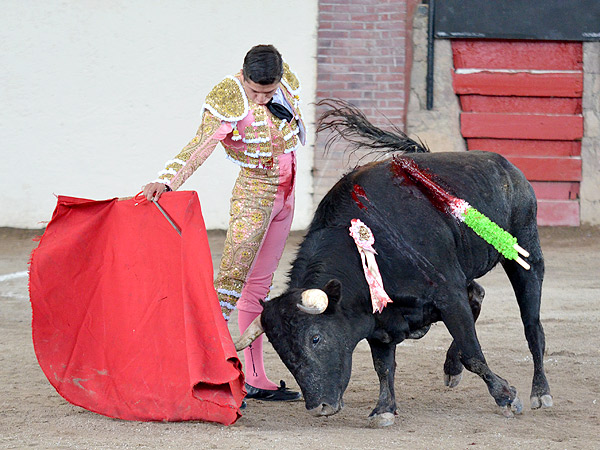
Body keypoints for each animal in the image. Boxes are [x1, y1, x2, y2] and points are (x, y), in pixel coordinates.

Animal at [236, 103, 552, 428]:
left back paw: (540, 392)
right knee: (477, 295)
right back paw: (452, 369)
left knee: (531, 325)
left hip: (526, 251)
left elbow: (472, 352)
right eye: (282, 351)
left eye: (315, 337)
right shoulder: (378, 317)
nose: (319, 407)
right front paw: (384, 409)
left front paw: (506, 396)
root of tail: (507, 167)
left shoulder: (448, 294)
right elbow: (384, 365)